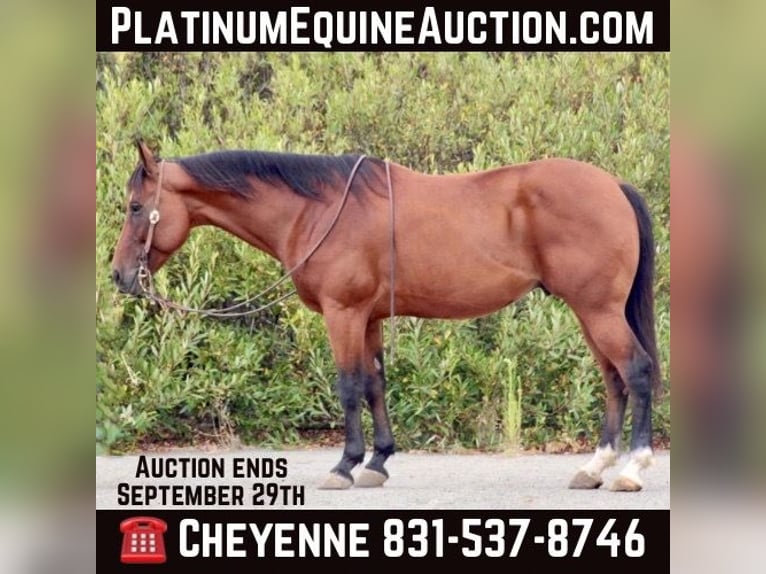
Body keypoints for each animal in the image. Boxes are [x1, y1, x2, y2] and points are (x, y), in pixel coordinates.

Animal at [111, 140, 662, 492]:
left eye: (136, 207)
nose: (119, 275)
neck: (319, 209)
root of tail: (613, 186)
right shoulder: (369, 318)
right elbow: (376, 384)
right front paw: (377, 461)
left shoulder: (344, 314)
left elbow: (349, 385)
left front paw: (344, 466)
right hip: (591, 314)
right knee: (613, 380)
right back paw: (595, 468)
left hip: (598, 311)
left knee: (635, 372)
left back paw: (631, 470)